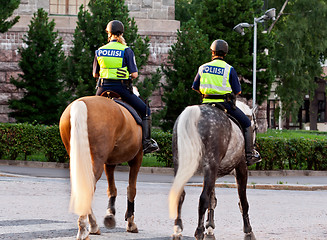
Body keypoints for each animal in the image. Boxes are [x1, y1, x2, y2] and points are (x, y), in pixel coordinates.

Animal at [59, 96, 144, 240]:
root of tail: (80, 104)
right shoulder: (137, 157)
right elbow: (131, 189)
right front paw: (131, 223)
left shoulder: (109, 162)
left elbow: (112, 189)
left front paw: (110, 215)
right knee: (89, 187)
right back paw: (85, 229)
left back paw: (91, 226)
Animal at [169, 101, 258, 240]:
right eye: (256, 128)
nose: (254, 152)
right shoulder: (241, 167)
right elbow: (243, 201)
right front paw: (248, 230)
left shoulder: (213, 173)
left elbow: (212, 200)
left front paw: (210, 227)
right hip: (211, 165)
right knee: (203, 198)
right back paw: (199, 232)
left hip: (181, 165)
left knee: (180, 194)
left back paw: (178, 228)